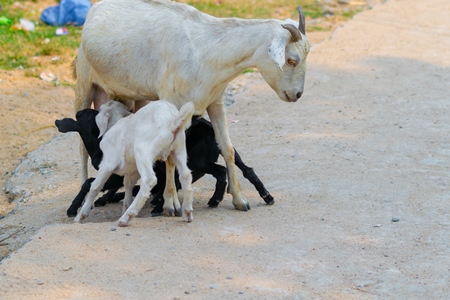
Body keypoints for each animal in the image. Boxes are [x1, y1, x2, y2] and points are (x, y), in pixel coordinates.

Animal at [74, 0, 312, 212]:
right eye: (291, 60)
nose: (297, 94)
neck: (206, 50)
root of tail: (97, 7)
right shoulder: (171, 102)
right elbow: (170, 154)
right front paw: (170, 205)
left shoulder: (215, 101)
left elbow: (228, 148)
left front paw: (239, 200)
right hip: (84, 83)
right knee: (82, 146)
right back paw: (85, 196)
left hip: (132, 95)